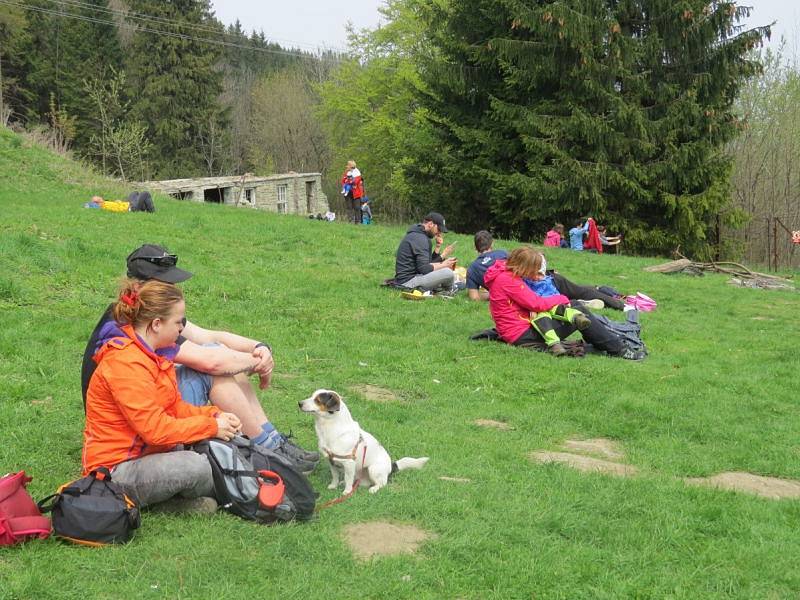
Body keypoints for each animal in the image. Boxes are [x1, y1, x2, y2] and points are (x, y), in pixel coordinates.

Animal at [298, 390, 428, 492]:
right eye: (312, 396)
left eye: (318, 400)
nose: (299, 403)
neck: (329, 428)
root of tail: (391, 466)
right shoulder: (331, 461)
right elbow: (335, 476)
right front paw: (334, 486)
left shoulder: (349, 462)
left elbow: (348, 479)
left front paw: (346, 492)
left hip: (373, 469)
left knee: (381, 483)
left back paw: (373, 489)